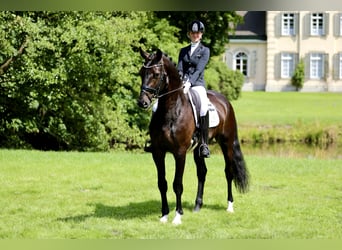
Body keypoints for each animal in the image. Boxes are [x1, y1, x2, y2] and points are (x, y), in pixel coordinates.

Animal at [138, 47, 250, 224]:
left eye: (156, 74)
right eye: (141, 73)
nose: (142, 102)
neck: (171, 110)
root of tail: (224, 101)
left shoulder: (180, 153)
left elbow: (177, 184)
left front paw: (177, 216)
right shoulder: (158, 152)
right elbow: (162, 183)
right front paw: (164, 215)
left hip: (226, 143)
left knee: (229, 172)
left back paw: (229, 206)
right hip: (199, 149)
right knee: (202, 172)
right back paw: (198, 205)